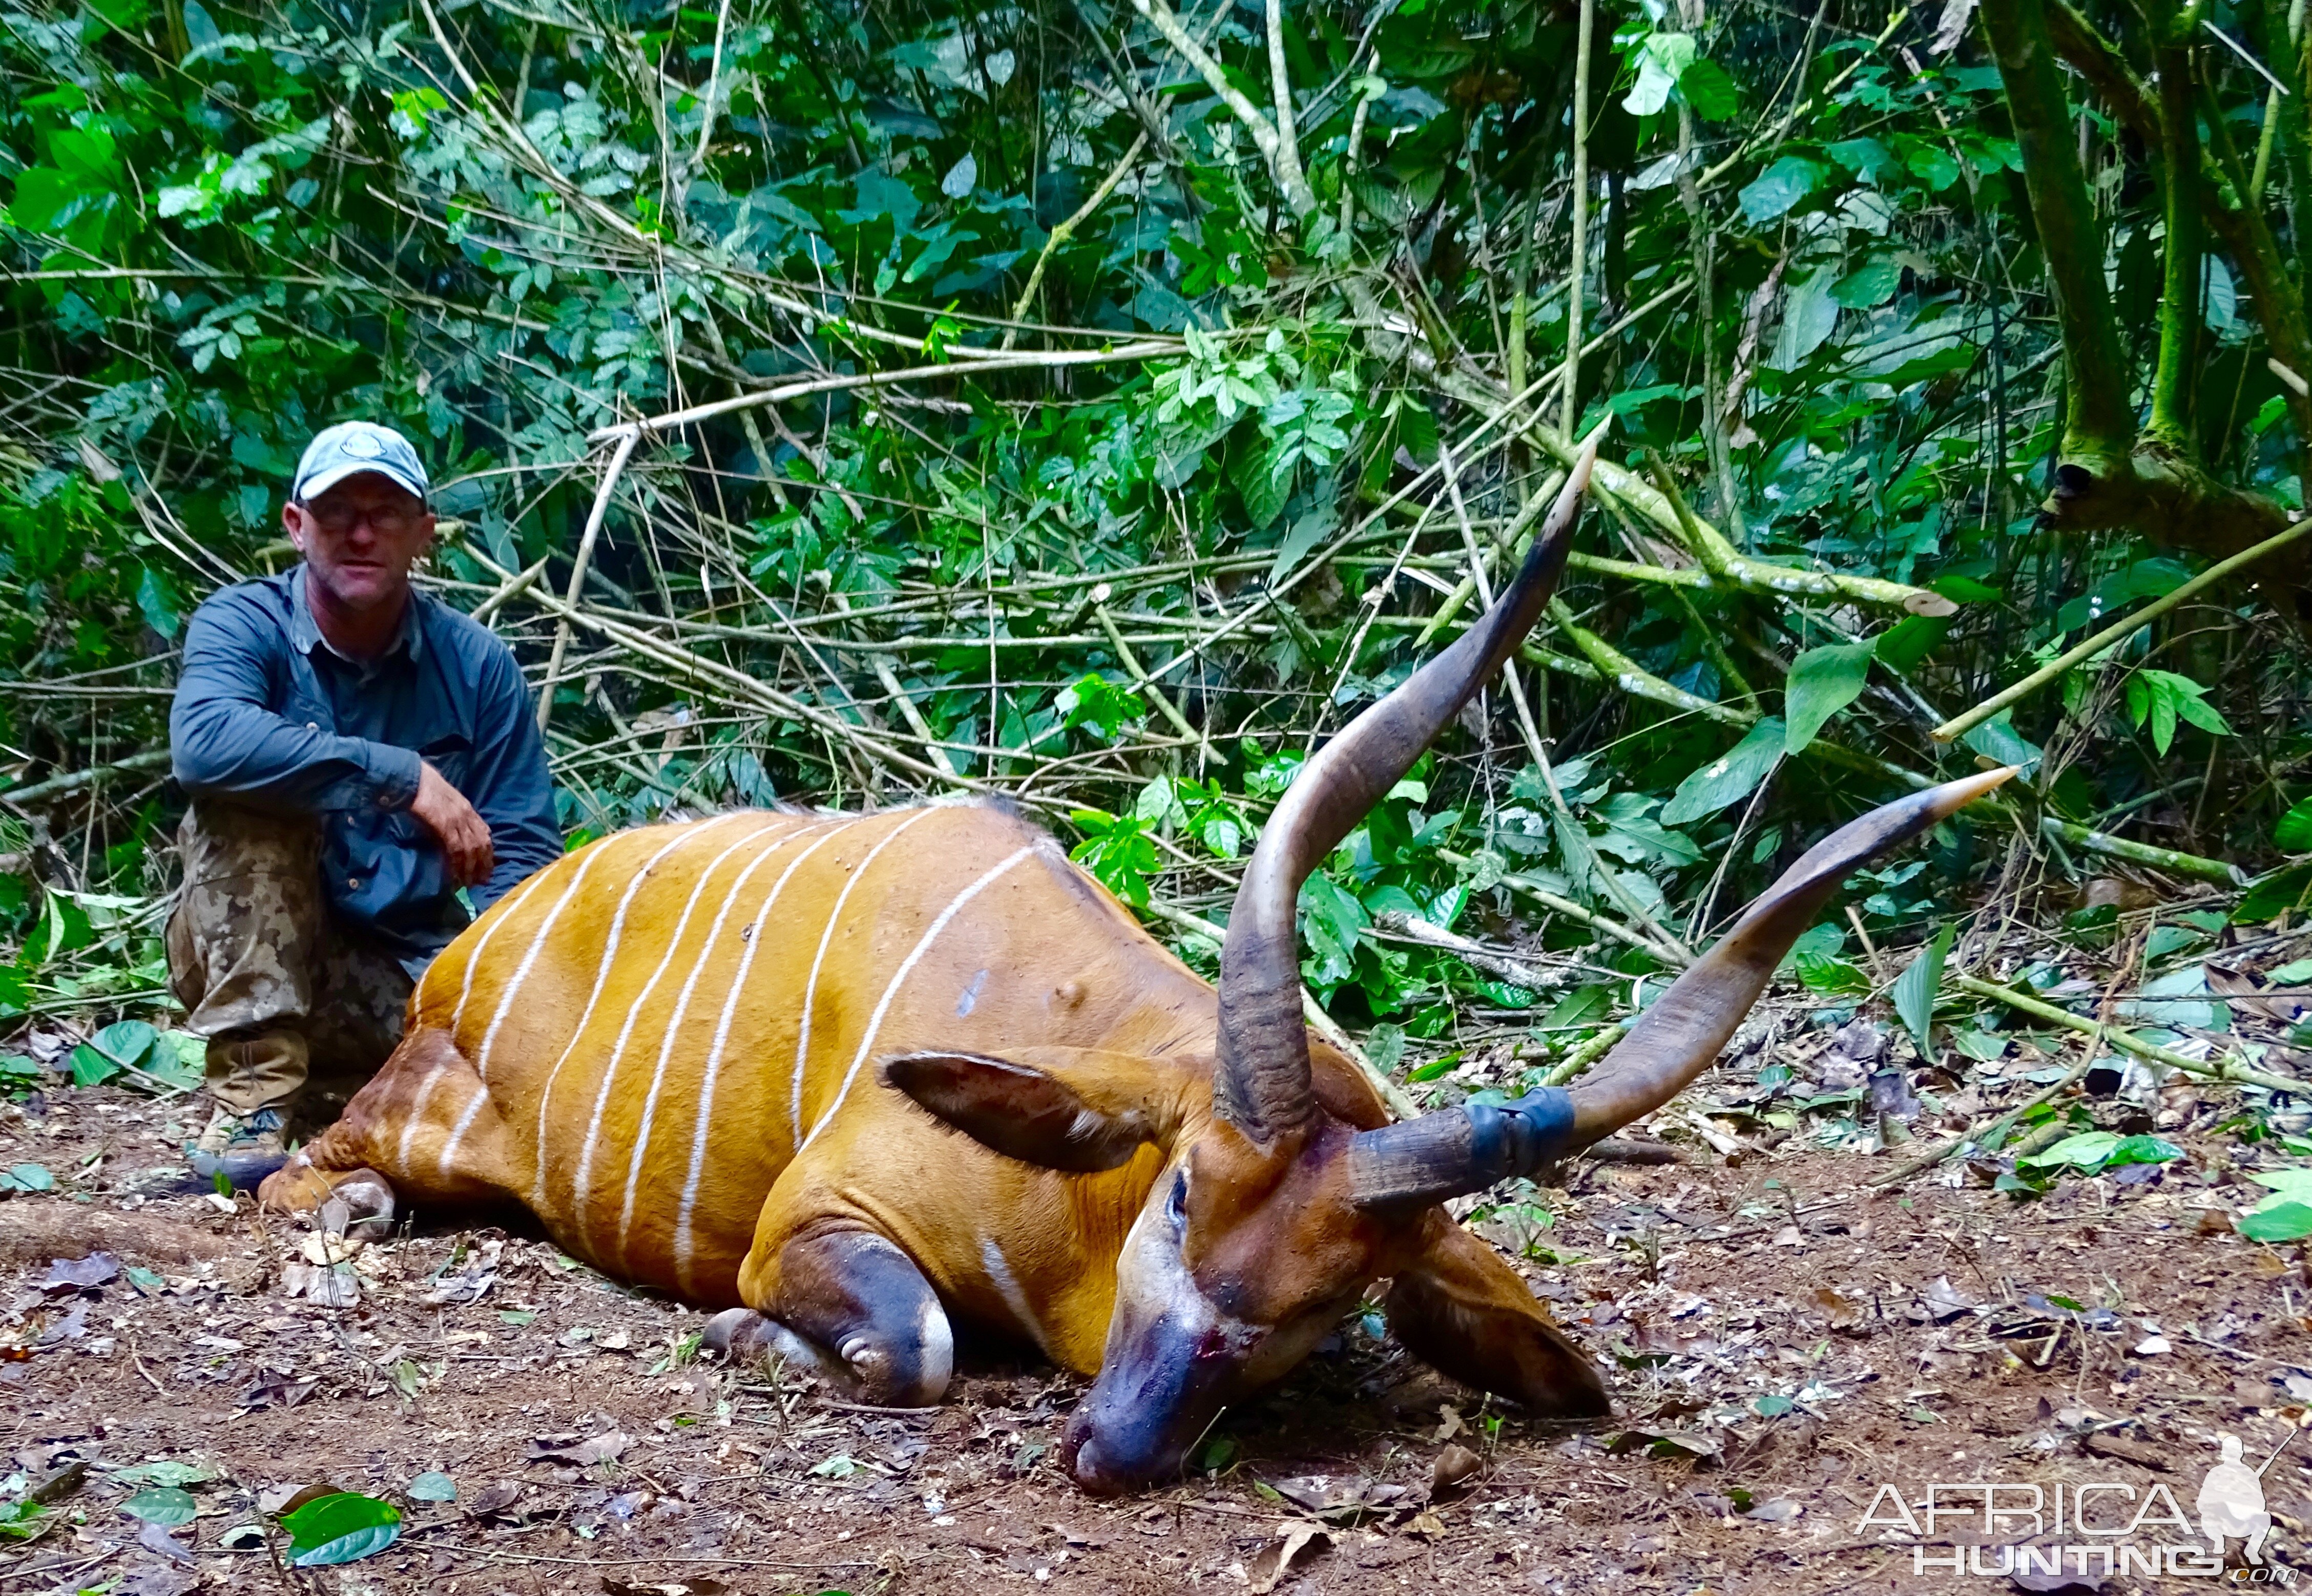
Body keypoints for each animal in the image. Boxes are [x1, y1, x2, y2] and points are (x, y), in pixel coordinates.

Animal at [262, 432, 2016, 1480]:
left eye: (1335, 1293)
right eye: (1178, 1190)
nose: (1109, 1446)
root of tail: (481, 945)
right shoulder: (814, 1216)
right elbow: (910, 1344)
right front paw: (743, 1336)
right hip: (423, 1108)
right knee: (305, 1164)